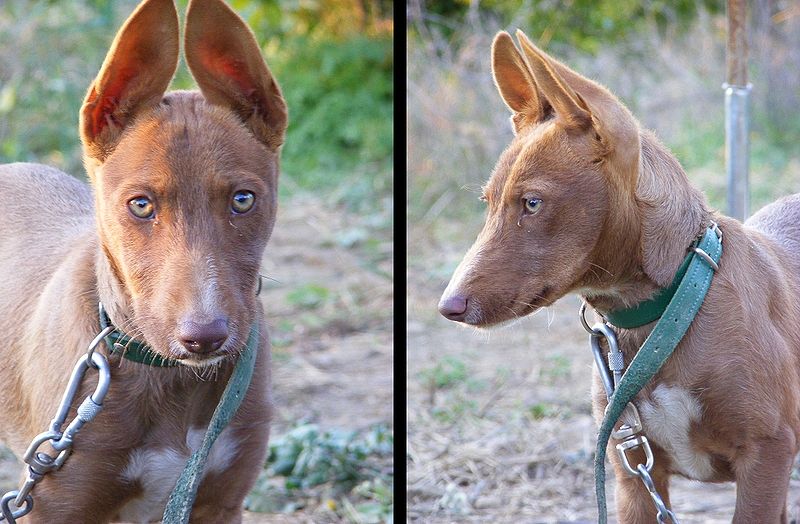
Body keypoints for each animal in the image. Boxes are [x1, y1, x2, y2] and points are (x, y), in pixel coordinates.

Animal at [0, 0, 288, 520]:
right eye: (140, 205)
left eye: (243, 200)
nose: (205, 337)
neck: (170, 378)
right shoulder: (53, 503)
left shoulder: (220, 501)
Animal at [438, 29, 800, 524]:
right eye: (487, 202)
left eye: (532, 203)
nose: (447, 307)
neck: (669, 308)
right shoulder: (633, 473)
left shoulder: (765, 458)